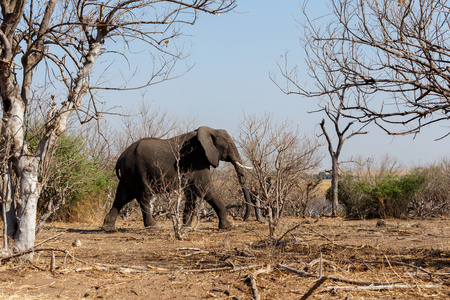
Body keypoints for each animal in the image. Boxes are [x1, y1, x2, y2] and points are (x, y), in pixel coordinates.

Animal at [100, 125, 258, 231]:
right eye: (229, 145)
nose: (244, 218)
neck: (210, 130)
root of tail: (120, 157)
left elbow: (192, 193)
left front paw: (186, 227)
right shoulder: (197, 159)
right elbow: (204, 188)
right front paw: (228, 226)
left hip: (129, 172)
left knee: (122, 197)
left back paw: (108, 228)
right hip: (137, 170)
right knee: (143, 195)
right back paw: (153, 227)